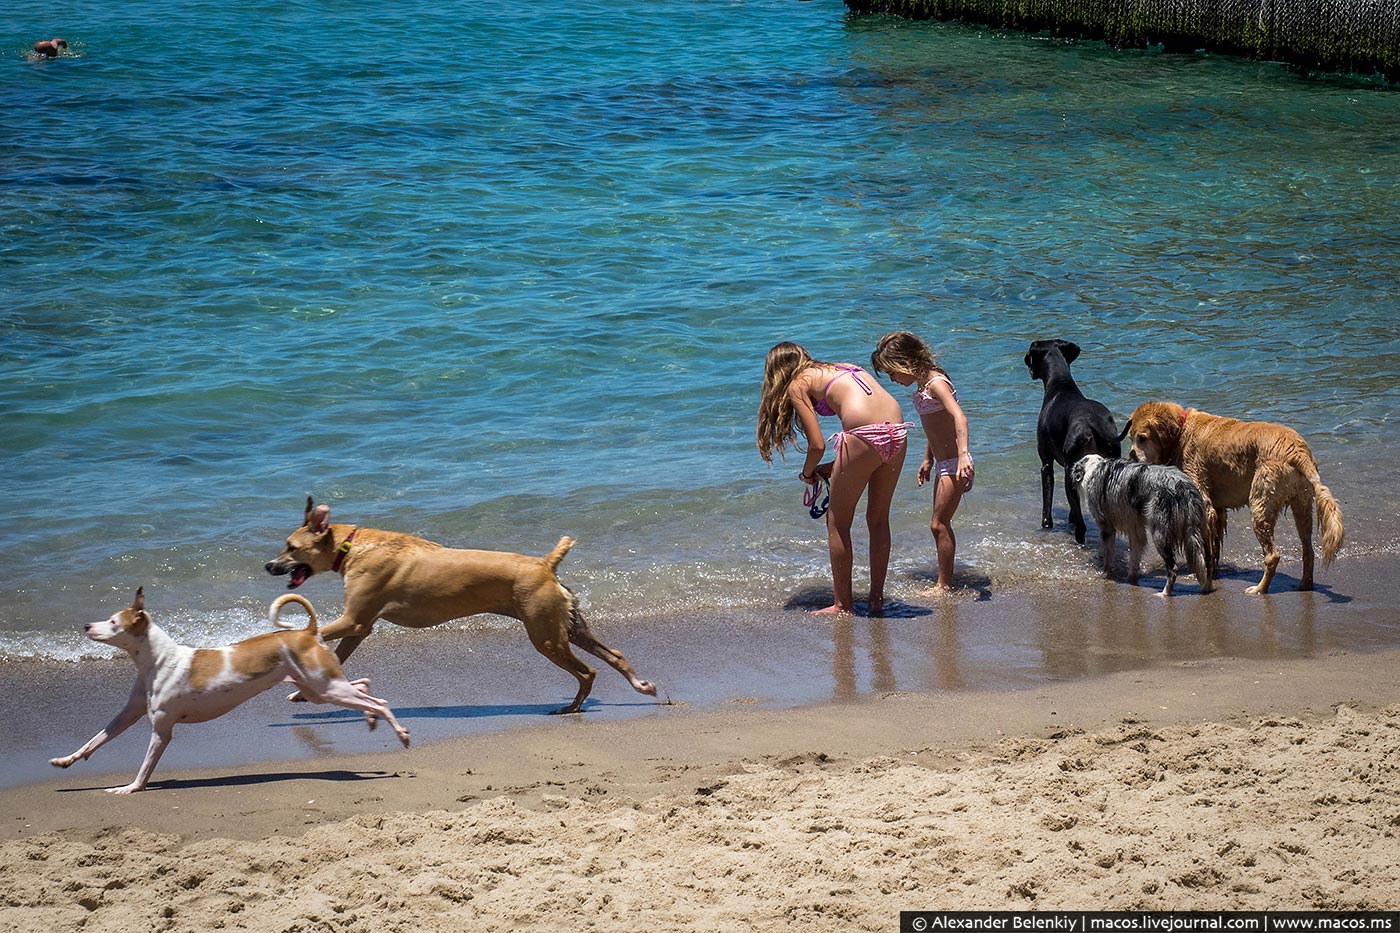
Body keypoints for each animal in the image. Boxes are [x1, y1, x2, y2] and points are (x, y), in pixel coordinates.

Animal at [50, 588, 408, 790]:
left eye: (113, 623)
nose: (86, 625)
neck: (160, 660)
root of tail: (308, 632)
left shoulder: (162, 730)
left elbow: (145, 767)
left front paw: (131, 788)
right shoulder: (128, 715)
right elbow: (94, 741)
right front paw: (66, 760)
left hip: (327, 688)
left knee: (378, 702)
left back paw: (400, 732)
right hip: (319, 690)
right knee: (367, 690)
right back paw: (373, 719)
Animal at [263, 498, 655, 708]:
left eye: (290, 547)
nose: (268, 565)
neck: (352, 546)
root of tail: (544, 564)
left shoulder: (354, 620)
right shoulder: (360, 627)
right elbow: (339, 656)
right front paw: (308, 693)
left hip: (545, 635)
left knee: (587, 672)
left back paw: (572, 707)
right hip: (569, 627)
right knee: (613, 655)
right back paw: (640, 685)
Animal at [1024, 337, 1131, 540]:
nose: (1030, 372)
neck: (1060, 384)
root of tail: (1094, 423)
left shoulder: (1046, 465)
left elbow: (1047, 503)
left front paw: (1047, 524)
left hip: (1070, 473)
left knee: (1081, 525)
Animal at [1069, 451, 1215, 596]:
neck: (1093, 466)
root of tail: (1183, 487)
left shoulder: (1107, 527)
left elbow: (1108, 555)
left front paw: (1105, 574)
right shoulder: (1135, 528)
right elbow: (1134, 556)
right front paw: (1131, 578)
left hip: (1159, 533)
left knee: (1173, 568)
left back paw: (1164, 593)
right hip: (1201, 528)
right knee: (1207, 560)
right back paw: (1207, 588)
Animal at [1120, 400, 1338, 591]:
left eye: (1142, 437)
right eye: (1131, 438)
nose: (1131, 456)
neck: (1182, 431)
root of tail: (1298, 451)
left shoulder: (1205, 503)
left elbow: (1206, 548)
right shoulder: (1218, 509)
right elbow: (1214, 546)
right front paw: (1213, 571)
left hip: (1261, 504)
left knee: (1272, 556)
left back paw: (1259, 589)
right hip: (1302, 505)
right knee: (1308, 550)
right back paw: (1304, 585)